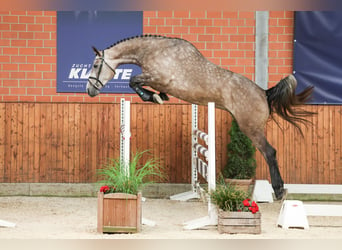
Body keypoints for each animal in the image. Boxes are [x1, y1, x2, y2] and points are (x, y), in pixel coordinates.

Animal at [87, 34, 314, 199]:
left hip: (251, 128)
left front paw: (152, 97)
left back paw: (279, 190)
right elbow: (141, 84)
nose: (90, 90)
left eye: (96, 65)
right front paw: (158, 97)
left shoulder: (159, 78)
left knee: (270, 152)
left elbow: (133, 81)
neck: (153, 50)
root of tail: (264, 93)